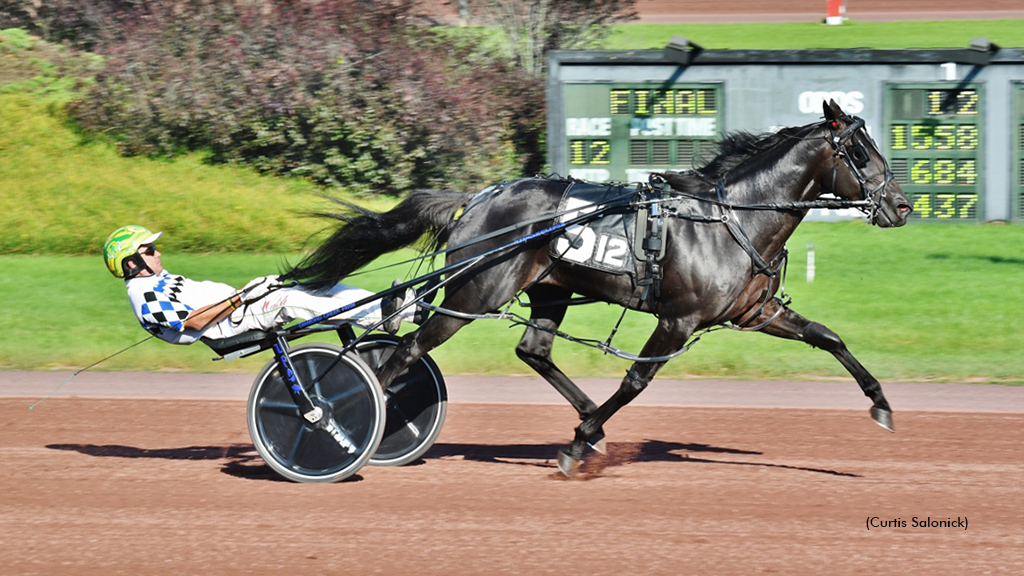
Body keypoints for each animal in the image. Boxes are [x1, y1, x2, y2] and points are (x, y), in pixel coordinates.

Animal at [284, 100, 917, 473]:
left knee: (532, 349)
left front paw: (881, 404)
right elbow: (637, 380)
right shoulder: (678, 320)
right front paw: (577, 443)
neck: (731, 217)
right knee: (405, 353)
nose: (902, 207)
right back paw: (356, 427)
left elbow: (829, 338)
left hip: (548, 290)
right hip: (473, 295)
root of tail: (478, 198)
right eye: (860, 152)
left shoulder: (755, 312)